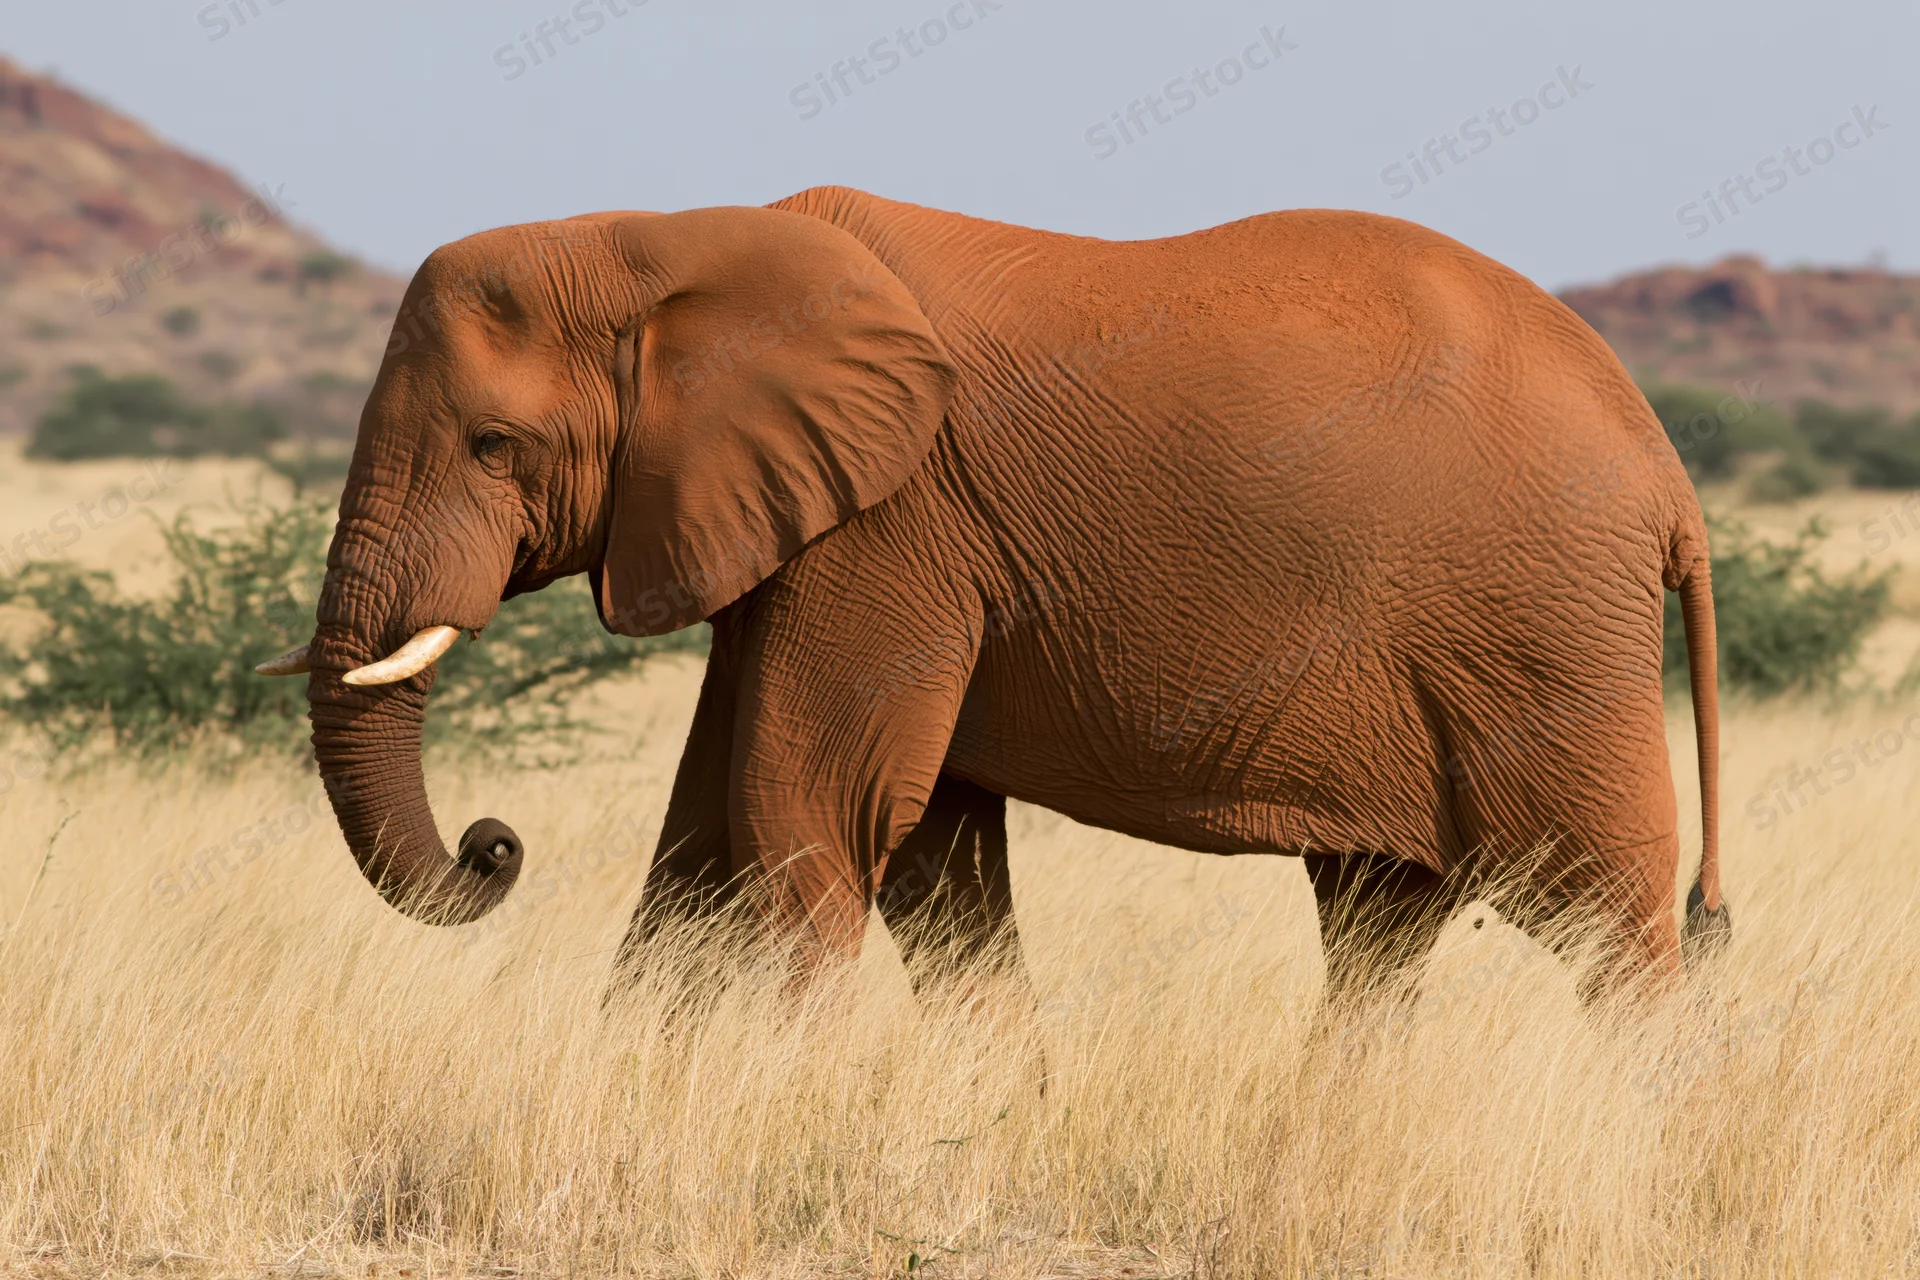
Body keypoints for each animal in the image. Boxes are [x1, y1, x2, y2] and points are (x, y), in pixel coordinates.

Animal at [257, 185, 1729, 1005]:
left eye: (492, 446)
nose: (494, 844)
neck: (667, 242)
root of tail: (1672, 475)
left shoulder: (890, 527)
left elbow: (809, 813)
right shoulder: (816, 532)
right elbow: (782, 845)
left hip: (1542, 633)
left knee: (1604, 918)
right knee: (1380, 924)